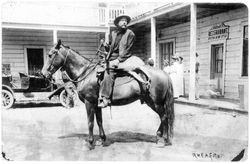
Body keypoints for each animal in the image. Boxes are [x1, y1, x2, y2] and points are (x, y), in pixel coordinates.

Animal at [41, 40, 174, 150]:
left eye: (51, 55)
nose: (43, 73)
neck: (86, 73)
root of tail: (164, 73)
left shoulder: (89, 103)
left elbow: (90, 123)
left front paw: (90, 143)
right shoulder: (96, 104)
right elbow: (99, 121)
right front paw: (101, 140)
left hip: (156, 102)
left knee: (164, 117)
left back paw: (163, 140)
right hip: (150, 102)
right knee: (164, 117)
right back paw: (160, 137)